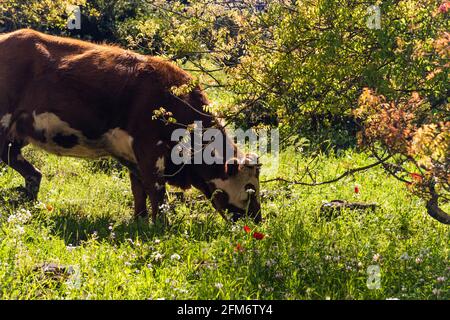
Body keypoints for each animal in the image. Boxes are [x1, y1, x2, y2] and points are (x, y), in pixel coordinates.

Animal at [0, 29, 262, 222]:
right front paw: (161, 225)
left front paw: (140, 220)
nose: (258, 221)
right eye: (250, 189)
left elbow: (138, 189)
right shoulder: (149, 149)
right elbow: (157, 191)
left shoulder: (132, 154)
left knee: (18, 161)